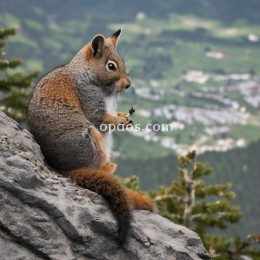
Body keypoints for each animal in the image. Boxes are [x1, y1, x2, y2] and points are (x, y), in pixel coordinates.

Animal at [27, 29, 154, 245]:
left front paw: (123, 116)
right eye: (111, 66)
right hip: (91, 138)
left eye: (122, 61)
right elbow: (100, 119)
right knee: (96, 165)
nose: (128, 85)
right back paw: (107, 168)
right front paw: (121, 121)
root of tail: (66, 169)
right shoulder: (90, 103)